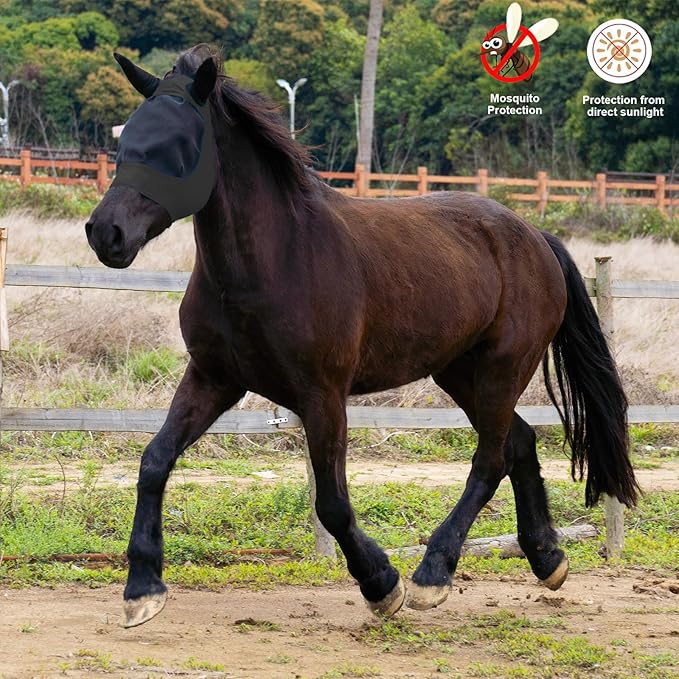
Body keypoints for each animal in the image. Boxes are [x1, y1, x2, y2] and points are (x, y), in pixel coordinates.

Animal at [85, 44, 638, 629]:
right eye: (126, 138)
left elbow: (331, 503)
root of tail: (535, 236)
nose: (105, 233)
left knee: (490, 461)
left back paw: (432, 574)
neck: (274, 261)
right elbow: (154, 461)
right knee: (519, 444)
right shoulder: (214, 379)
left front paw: (381, 584)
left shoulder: (322, 396)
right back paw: (547, 560)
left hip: (501, 369)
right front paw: (142, 588)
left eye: (180, 144)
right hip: (461, 374)